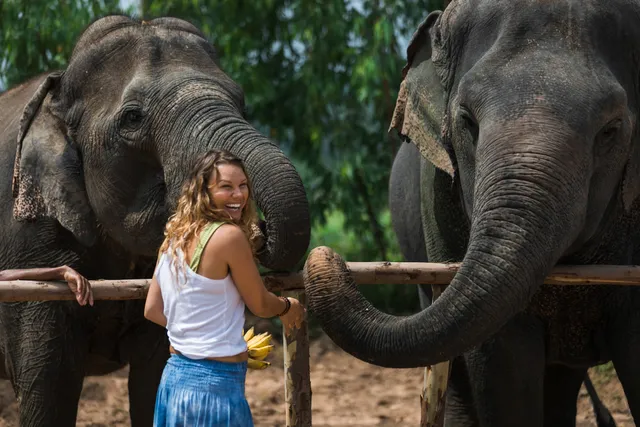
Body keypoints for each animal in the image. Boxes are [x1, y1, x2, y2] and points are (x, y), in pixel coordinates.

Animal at [0, 15, 310, 427]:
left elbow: (156, 373)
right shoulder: (27, 240)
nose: (258, 230)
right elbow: (50, 388)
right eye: (132, 118)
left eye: (241, 102)